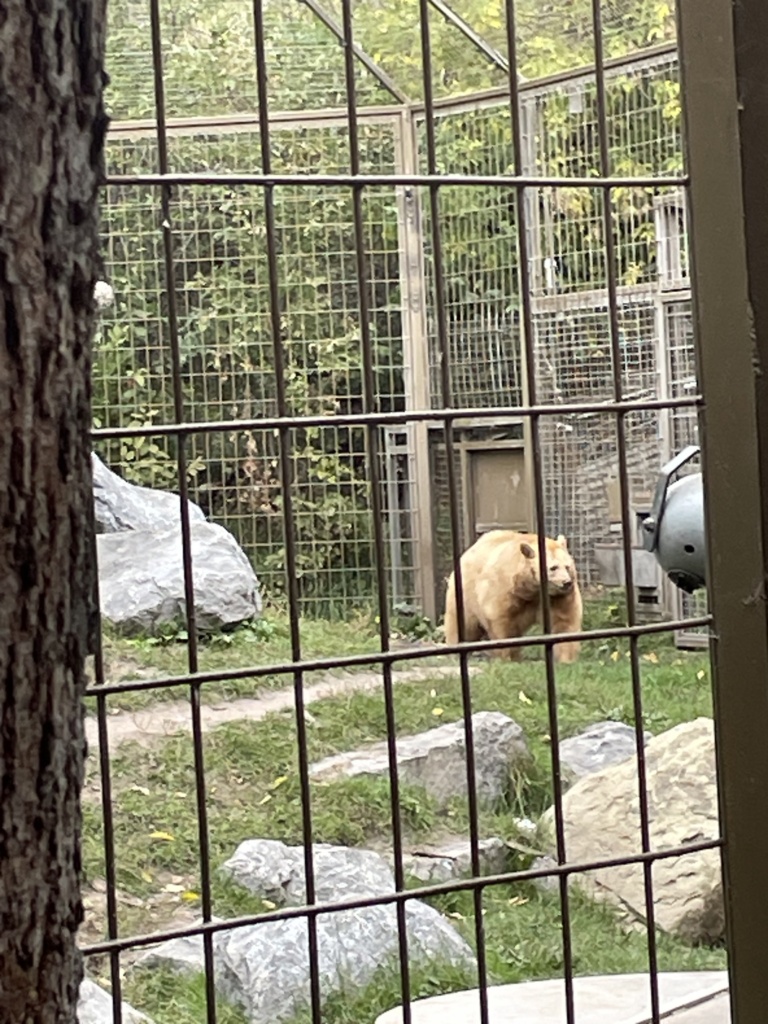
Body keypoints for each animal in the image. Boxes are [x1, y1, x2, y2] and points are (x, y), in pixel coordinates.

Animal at [442, 529, 583, 664]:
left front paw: (566, 659)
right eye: (553, 568)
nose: (566, 582)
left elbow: (563, 622)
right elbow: (502, 622)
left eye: (567, 566)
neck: (532, 588)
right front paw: (508, 658)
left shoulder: (556, 597)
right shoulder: (506, 589)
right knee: (463, 626)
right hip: (465, 595)